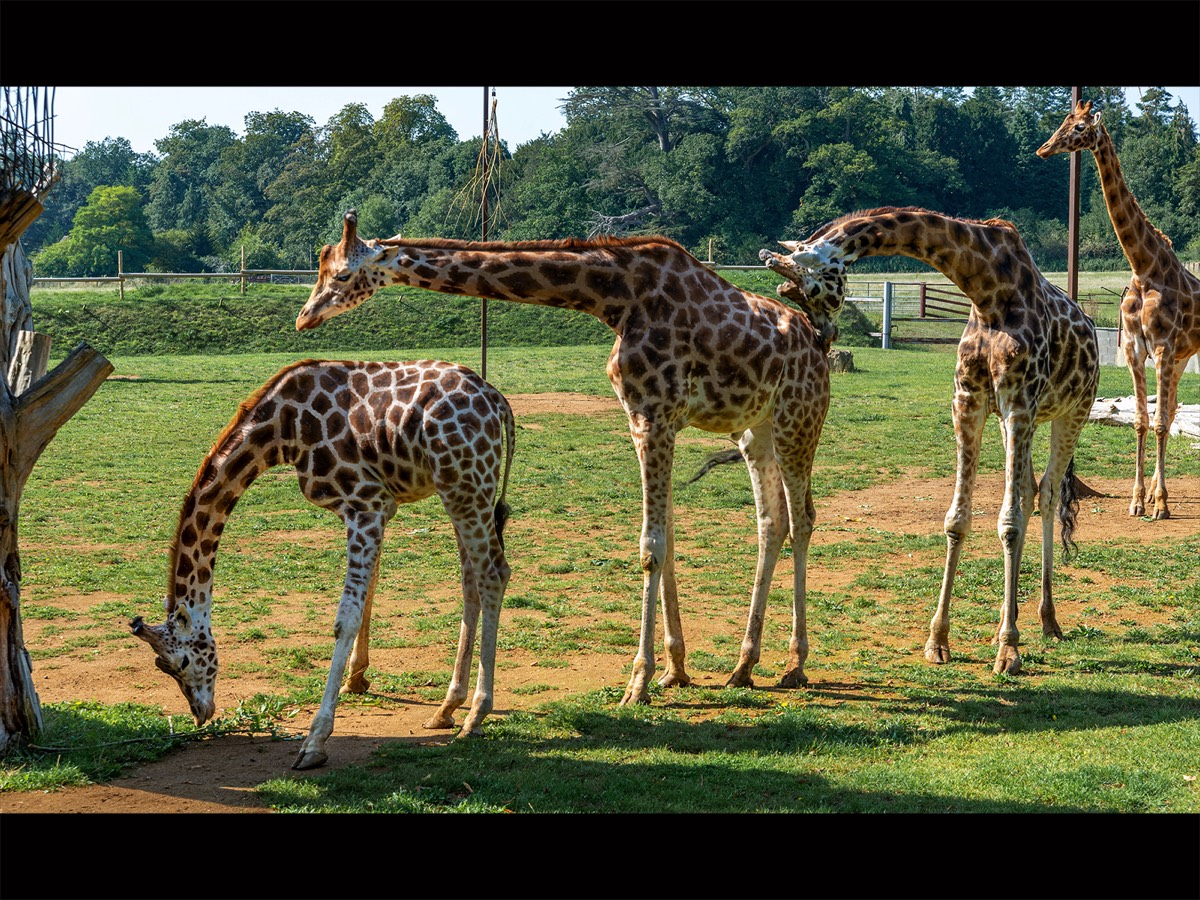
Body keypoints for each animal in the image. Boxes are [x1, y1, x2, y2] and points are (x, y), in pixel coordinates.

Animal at [132, 357, 516, 768]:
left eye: (181, 663)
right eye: (163, 667)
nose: (201, 712)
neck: (283, 429)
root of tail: (499, 404)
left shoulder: (365, 502)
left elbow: (345, 617)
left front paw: (315, 741)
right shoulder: (381, 506)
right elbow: (371, 587)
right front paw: (357, 679)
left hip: (464, 485)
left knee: (493, 572)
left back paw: (476, 715)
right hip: (459, 487)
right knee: (471, 580)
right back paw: (447, 708)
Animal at [763, 206, 1099, 676]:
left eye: (811, 288)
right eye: (787, 292)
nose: (825, 335)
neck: (987, 289)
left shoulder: (1019, 402)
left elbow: (1009, 523)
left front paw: (1008, 651)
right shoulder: (969, 401)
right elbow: (958, 520)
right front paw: (938, 640)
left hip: (1072, 410)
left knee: (1048, 494)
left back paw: (1047, 621)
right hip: (1016, 421)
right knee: (1030, 491)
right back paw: (1010, 618)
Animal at [1036, 97, 1195, 520]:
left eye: (1079, 128)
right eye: (1064, 120)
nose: (1043, 149)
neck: (1144, 267)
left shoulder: (1162, 346)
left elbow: (1158, 423)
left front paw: (1160, 505)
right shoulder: (1135, 348)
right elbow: (1143, 421)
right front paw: (1139, 500)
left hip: (1184, 353)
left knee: (1170, 412)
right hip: (1183, 356)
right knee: (1171, 407)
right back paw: (1156, 490)